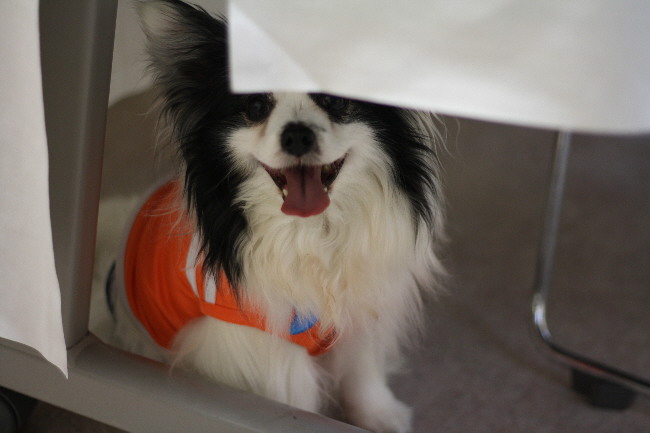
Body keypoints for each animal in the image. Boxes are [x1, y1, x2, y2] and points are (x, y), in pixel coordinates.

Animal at [107, 1, 445, 432]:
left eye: (334, 99)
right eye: (255, 107)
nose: (297, 134)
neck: (313, 232)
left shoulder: (360, 307)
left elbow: (361, 370)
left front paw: (379, 416)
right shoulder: (261, 348)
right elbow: (291, 400)